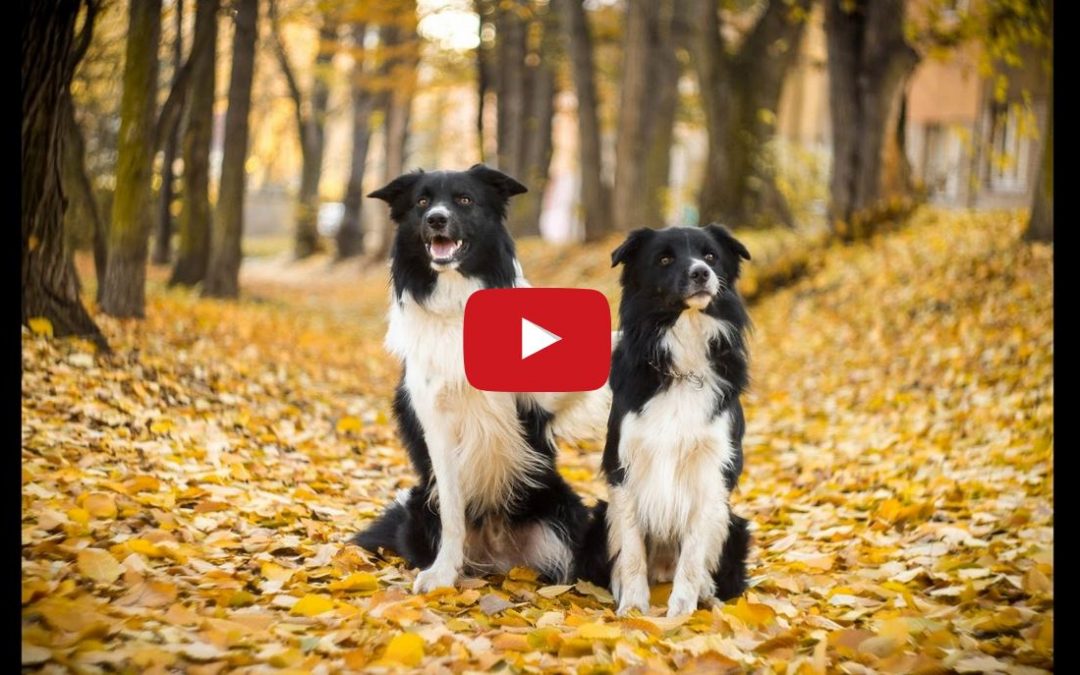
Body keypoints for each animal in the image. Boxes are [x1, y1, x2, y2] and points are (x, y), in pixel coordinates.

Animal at [352, 163, 613, 587]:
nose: (436, 219)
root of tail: (499, 553)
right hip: (420, 504)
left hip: (561, 508)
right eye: (421, 201)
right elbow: (452, 510)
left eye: (464, 199)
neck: (458, 302)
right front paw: (442, 573)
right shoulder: (436, 423)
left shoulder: (536, 401)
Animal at [574, 222, 751, 617]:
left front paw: (680, 613)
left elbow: (693, 555)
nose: (701, 272)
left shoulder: (710, 472)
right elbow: (632, 552)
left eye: (710, 255)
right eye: (665, 259)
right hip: (600, 516)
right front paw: (634, 610)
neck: (682, 363)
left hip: (733, 523)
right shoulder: (624, 467)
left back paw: (707, 594)